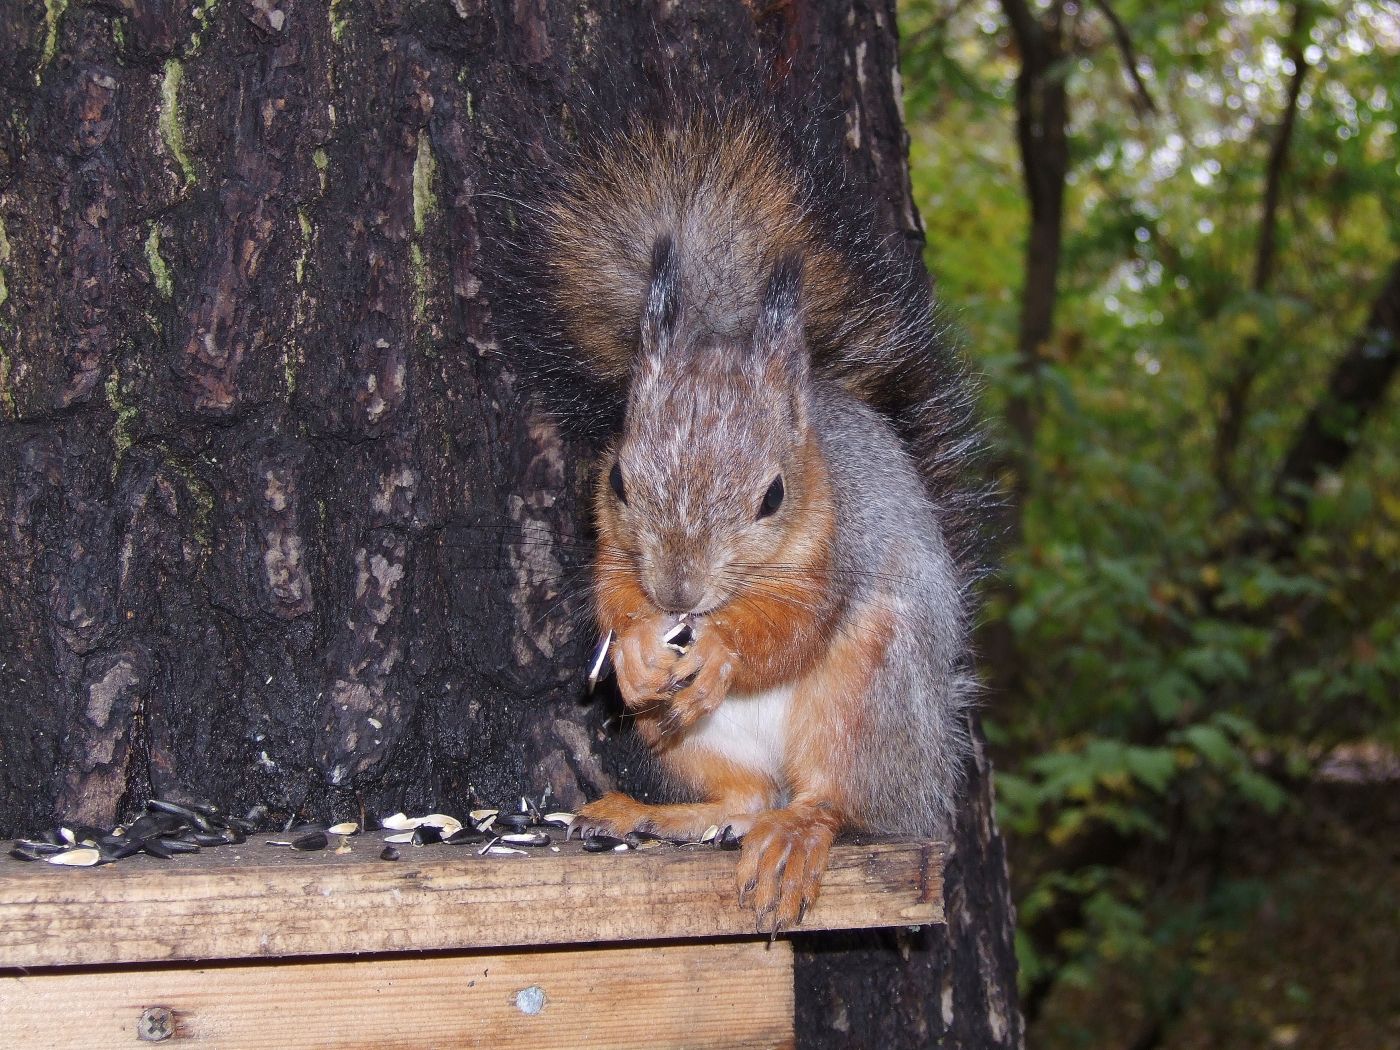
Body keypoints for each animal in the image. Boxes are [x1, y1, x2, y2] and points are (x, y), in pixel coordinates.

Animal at [509, 105, 980, 929]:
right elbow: (614, 595)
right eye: (619, 479)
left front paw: (724, 650)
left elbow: (793, 629)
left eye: (773, 496)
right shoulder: (613, 545)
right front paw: (636, 651)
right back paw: (657, 812)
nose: (678, 595)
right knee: (745, 796)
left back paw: (798, 832)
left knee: (834, 799)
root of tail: (927, 782)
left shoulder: (836, 551)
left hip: (866, 698)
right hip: (686, 738)